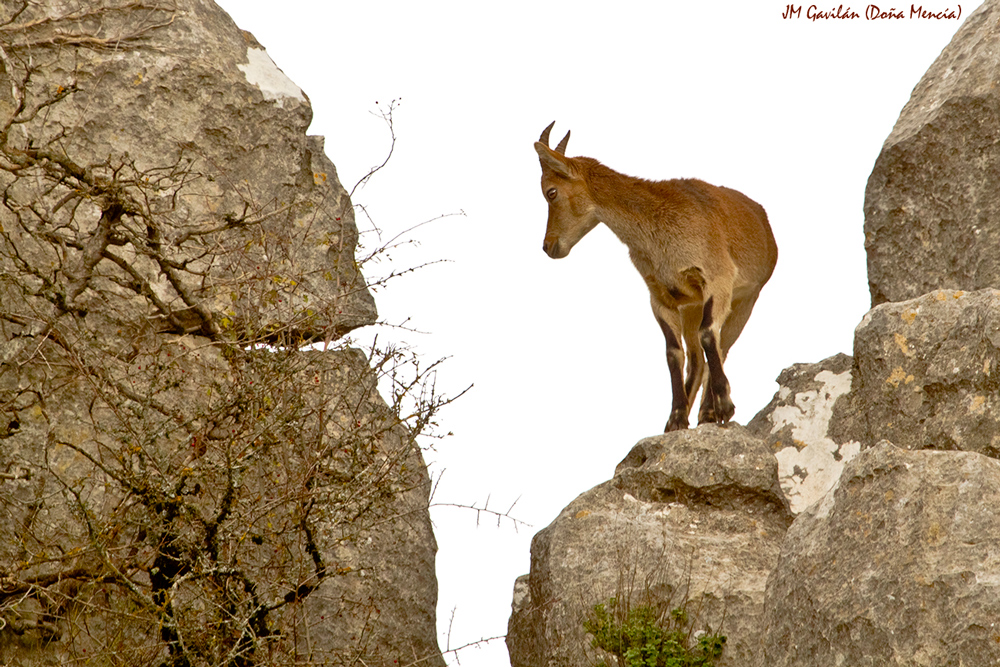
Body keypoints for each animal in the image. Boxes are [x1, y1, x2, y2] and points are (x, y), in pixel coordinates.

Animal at [535, 122, 777, 432]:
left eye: (550, 192)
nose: (548, 246)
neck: (659, 226)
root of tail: (763, 221)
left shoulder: (717, 280)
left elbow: (709, 335)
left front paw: (725, 407)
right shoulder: (662, 297)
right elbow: (673, 353)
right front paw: (675, 420)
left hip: (746, 301)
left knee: (720, 346)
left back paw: (709, 412)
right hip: (692, 308)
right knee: (696, 359)